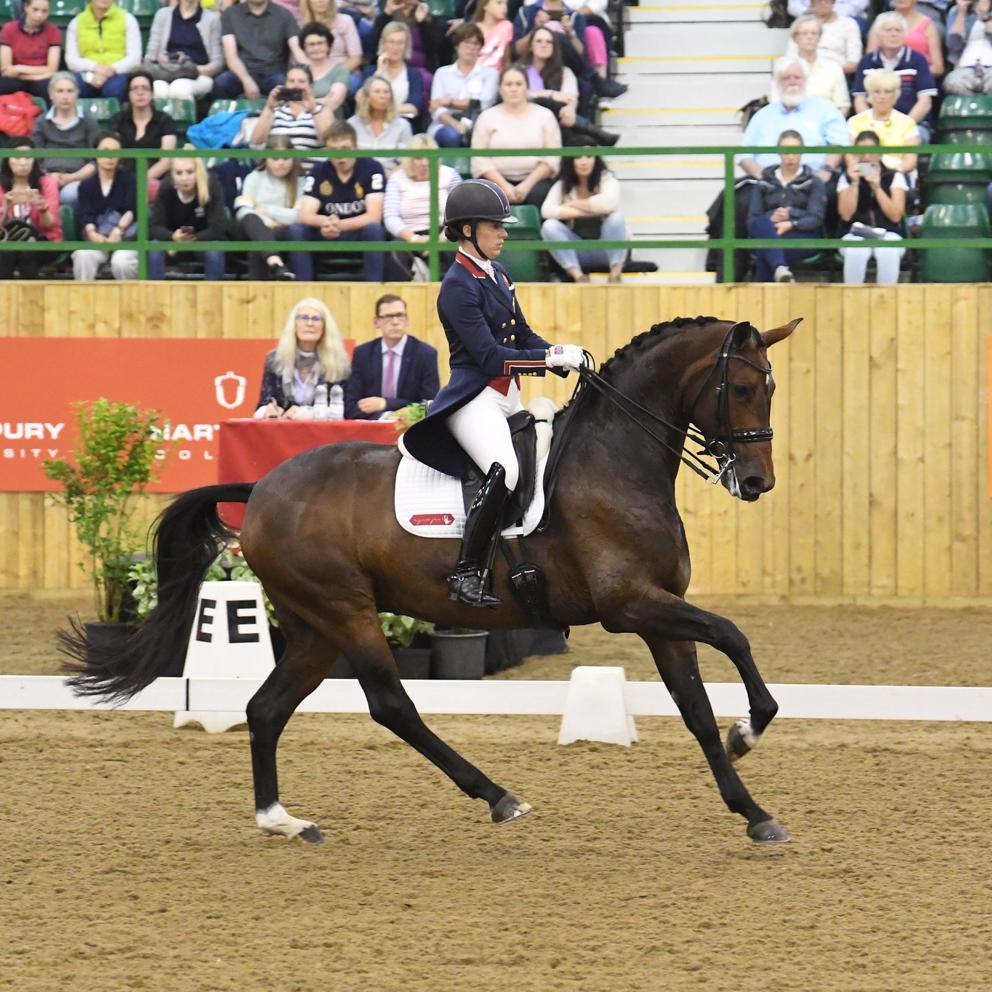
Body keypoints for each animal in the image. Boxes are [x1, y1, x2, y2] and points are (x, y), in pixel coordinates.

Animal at [68, 316, 800, 844]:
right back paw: (498, 797)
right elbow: (732, 636)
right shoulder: (631, 605)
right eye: (741, 389)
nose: (756, 482)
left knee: (266, 709)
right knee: (392, 705)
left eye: (771, 387)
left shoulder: (659, 609)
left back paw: (284, 821)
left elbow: (696, 707)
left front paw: (752, 805)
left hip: (313, 628)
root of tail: (263, 487)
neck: (613, 462)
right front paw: (749, 732)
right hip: (347, 612)